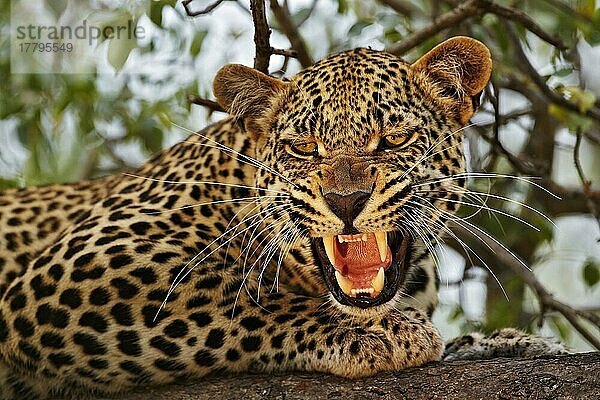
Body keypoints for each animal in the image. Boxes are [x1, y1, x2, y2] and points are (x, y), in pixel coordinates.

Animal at [0, 36, 568, 398]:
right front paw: (382, 333)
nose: (346, 200)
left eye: (395, 139)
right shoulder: (71, 270)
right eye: (302, 148)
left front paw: (503, 345)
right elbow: (238, 295)